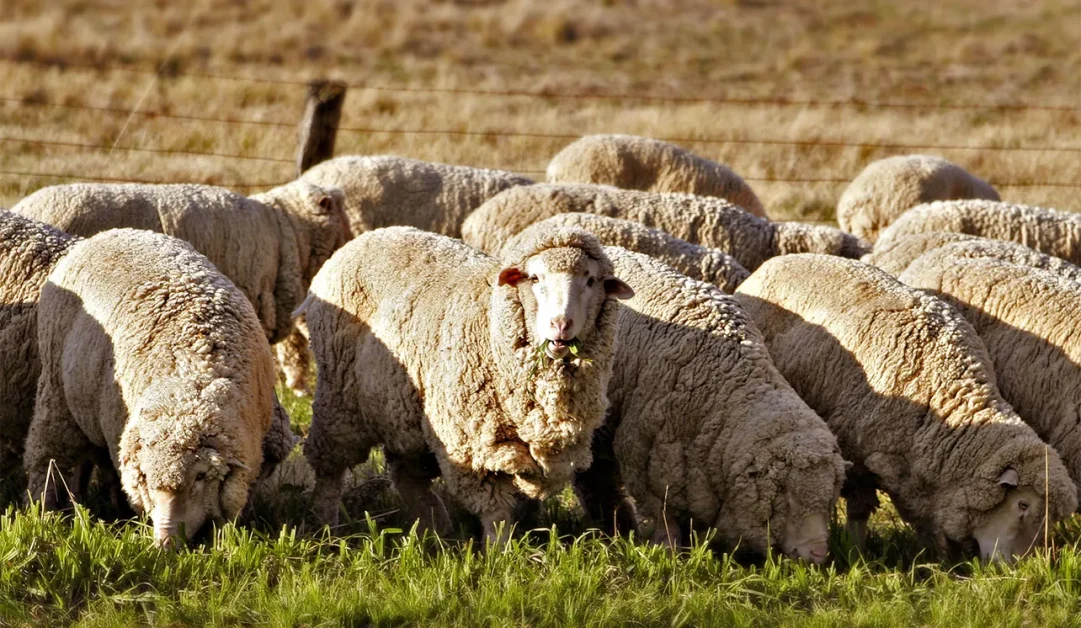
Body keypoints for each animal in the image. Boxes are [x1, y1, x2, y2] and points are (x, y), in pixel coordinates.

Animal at [24, 229, 276, 545]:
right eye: (146, 478)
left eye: (200, 476)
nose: (165, 543)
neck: (192, 377)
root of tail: (108, 233)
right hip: (55, 391)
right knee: (46, 456)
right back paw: (43, 512)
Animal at [302, 226, 633, 542]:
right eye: (535, 278)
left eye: (591, 281)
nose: (561, 325)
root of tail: (366, 237)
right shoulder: (472, 444)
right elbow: (495, 511)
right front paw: (500, 552)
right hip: (338, 397)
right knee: (330, 469)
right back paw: (326, 526)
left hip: (401, 410)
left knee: (406, 472)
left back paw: (433, 528)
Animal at [567, 246, 846, 562]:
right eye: (788, 500)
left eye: (830, 499)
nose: (819, 554)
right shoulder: (644, 458)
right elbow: (663, 515)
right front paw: (669, 551)